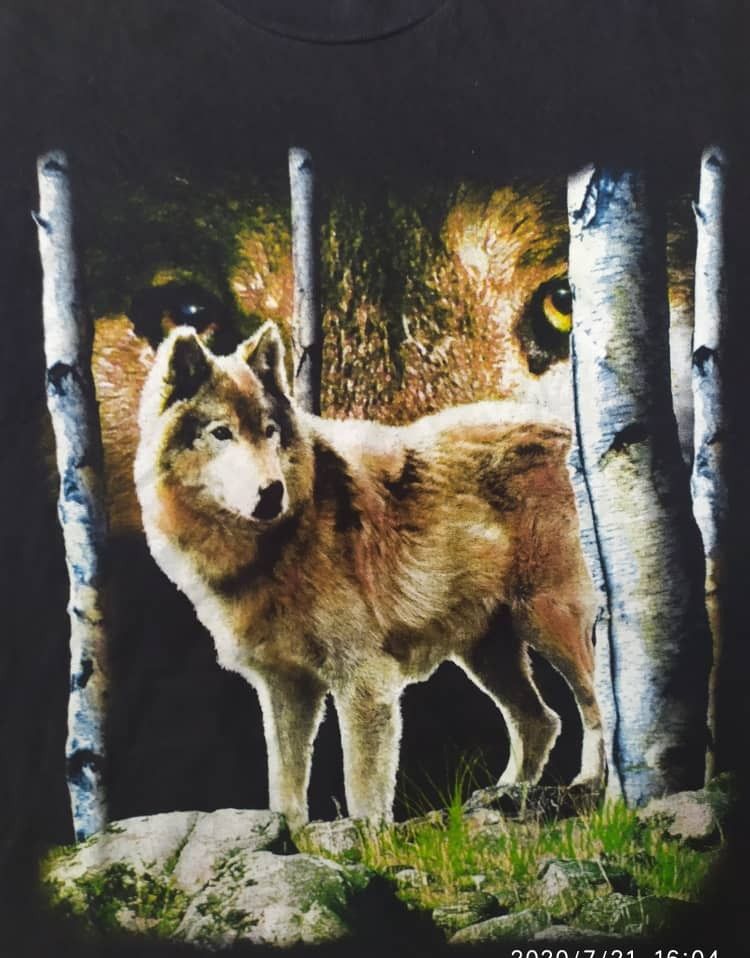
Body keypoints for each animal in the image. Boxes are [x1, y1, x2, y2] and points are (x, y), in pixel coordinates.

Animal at [135, 321, 604, 828]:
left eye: (269, 432)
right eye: (221, 433)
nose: (272, 493)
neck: (276, 546)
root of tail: (567, 429)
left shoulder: (362, 681)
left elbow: (363, 793)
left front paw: (371, 840)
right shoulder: (286, 690)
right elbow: (286, 790)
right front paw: (290, 839)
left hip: (549, 622)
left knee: (600, 703)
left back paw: (590, 784)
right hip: (484, 654)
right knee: (541, 720)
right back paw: (503, 795)